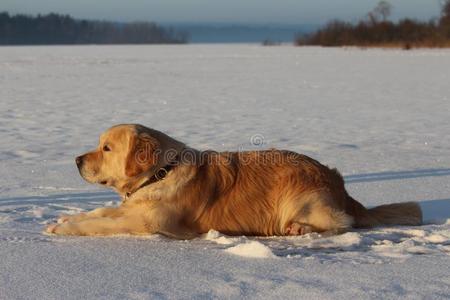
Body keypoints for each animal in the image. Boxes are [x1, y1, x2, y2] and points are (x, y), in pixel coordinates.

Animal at [45, 123, 422, 238]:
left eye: (106, 148)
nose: (76, 160)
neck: (159, 173)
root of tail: (339, 184)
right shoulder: (134, 207)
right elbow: (100, 213)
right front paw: (62, 219)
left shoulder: (150, 222)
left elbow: (101, 224)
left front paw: (66, 228)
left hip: (299, 195)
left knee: (344, 222)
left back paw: (299, 228)